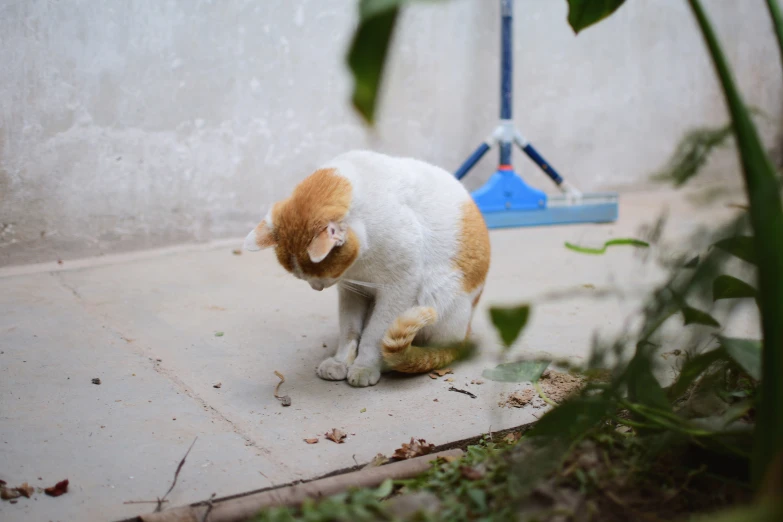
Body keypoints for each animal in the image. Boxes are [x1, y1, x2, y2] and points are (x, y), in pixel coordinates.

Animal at [245, 150, 490, 386]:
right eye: (301, 277)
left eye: (318, 275)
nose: (316, 288)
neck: (358, 267)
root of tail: (465, 333)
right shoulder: (351, 290)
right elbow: (349, 330)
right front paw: (340, 362)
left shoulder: (400, 287)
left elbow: (374, 334)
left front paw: (365, 366)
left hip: (437, 293)